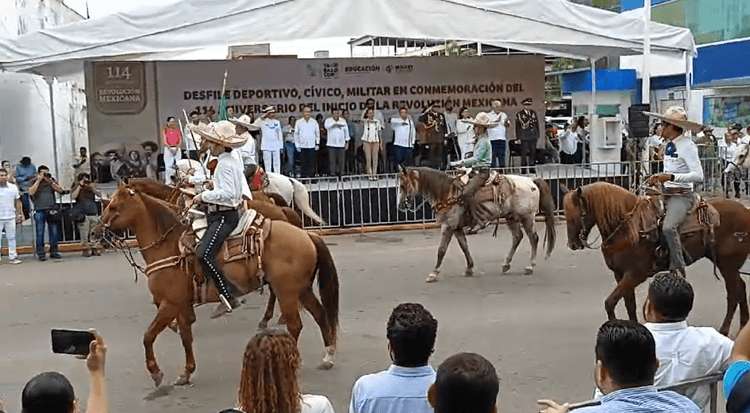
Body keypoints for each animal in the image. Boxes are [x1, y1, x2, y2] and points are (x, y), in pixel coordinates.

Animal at [98, 182, 340, 384]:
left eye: (113, 206)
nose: (97, 232)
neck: (169, 247)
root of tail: (307, 236)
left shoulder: (170, 304)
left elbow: (148, 336)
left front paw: (156, 372)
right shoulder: (181, 305)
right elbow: (185, 337)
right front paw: (186, 372)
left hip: (287, 291)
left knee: (295, 325)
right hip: (302, 289)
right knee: (320, 315)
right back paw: (327, 357)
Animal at [564, 182, 750, 334]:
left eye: (574, 216)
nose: (572, 244)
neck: (628, 228)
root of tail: (745, 211)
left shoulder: (635, 275)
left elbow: (610, 302)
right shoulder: (620, 275)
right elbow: (629, 304)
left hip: (727, 264)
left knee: (733, 293)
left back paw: (724, 330)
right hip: (728, 265)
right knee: (741, 288)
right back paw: (743, 325)